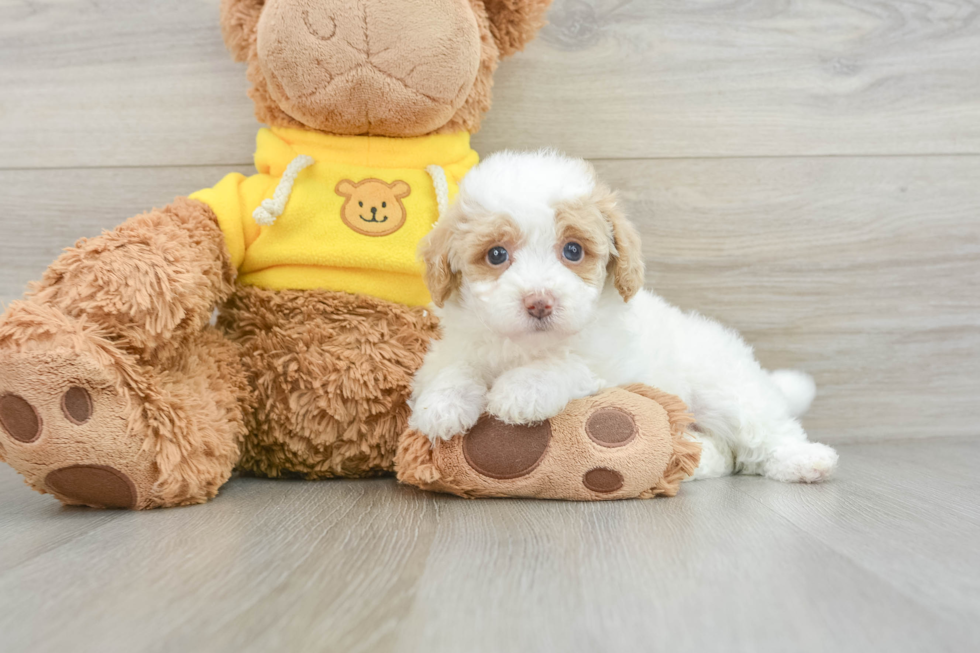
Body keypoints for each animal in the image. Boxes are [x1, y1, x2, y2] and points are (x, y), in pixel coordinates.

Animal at [410, 150, 840, 482]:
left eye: (573, 250)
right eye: (497, 254)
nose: (539, 302)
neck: (527, 347)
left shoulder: (606, 366)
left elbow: (565, 365)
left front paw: (521, 390)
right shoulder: (455, 347)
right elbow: (453, 368)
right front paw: (442, 405)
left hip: (725, 389)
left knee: (763, 431)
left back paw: (805, 460)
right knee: (724, 451)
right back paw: (696, 460)